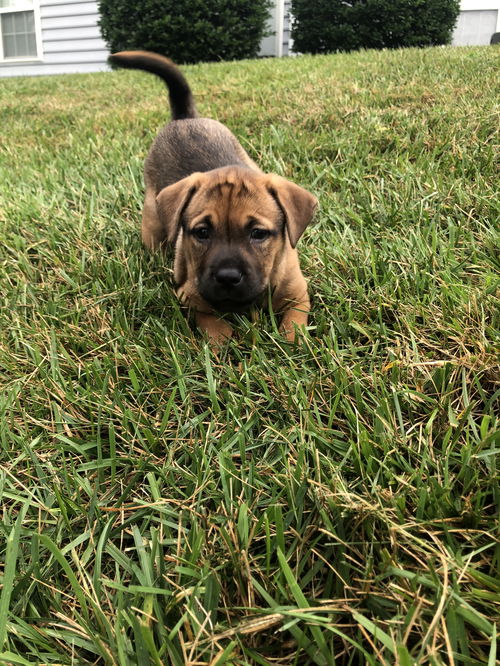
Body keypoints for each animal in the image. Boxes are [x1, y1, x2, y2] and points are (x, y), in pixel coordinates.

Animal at [111, 50, 318, 342]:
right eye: (202, 232)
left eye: (258, 233)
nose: (227, 277)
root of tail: (183, 118)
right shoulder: (191, 295)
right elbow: (214, 324)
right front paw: (221, 344)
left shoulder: (298, 295)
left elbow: (294, 324)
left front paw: (293, 343)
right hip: (152, 218)